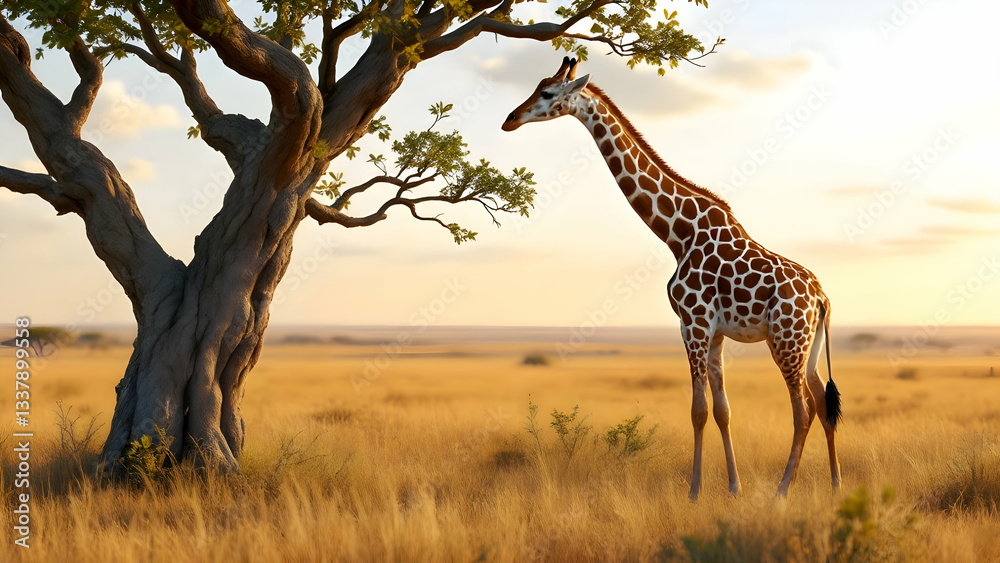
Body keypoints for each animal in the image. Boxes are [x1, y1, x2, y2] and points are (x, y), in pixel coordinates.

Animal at [502, 57, 842, 500]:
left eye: (546, 93)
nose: (509, 120)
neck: (676, 234)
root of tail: (820, 297)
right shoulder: (708, 331)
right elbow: (722, 410)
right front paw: (732, 487)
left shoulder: (694, 324)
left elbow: (698, 410)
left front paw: (695, 492)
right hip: (809, 344)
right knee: (823, 402)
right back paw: (836, 485)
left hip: (785, 339)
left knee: (803, 410)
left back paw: (782, 491)